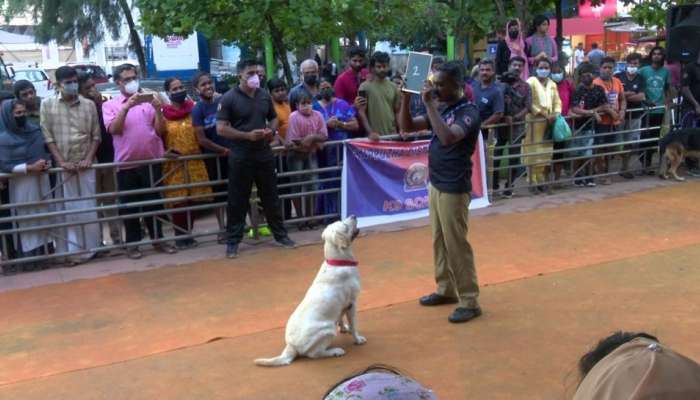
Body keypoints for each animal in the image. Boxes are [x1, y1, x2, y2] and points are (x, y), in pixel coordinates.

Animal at [256, 216, 366, 366]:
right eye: (344, 225)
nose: (354, 215)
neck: (338, 262)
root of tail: (291, 346)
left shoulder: (342, 306)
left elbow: (341, 319)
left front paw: (344, 329)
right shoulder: (352, 303)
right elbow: (354, 325)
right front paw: (357, 339)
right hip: (328, 330)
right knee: (314, 354)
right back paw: (335, 351)